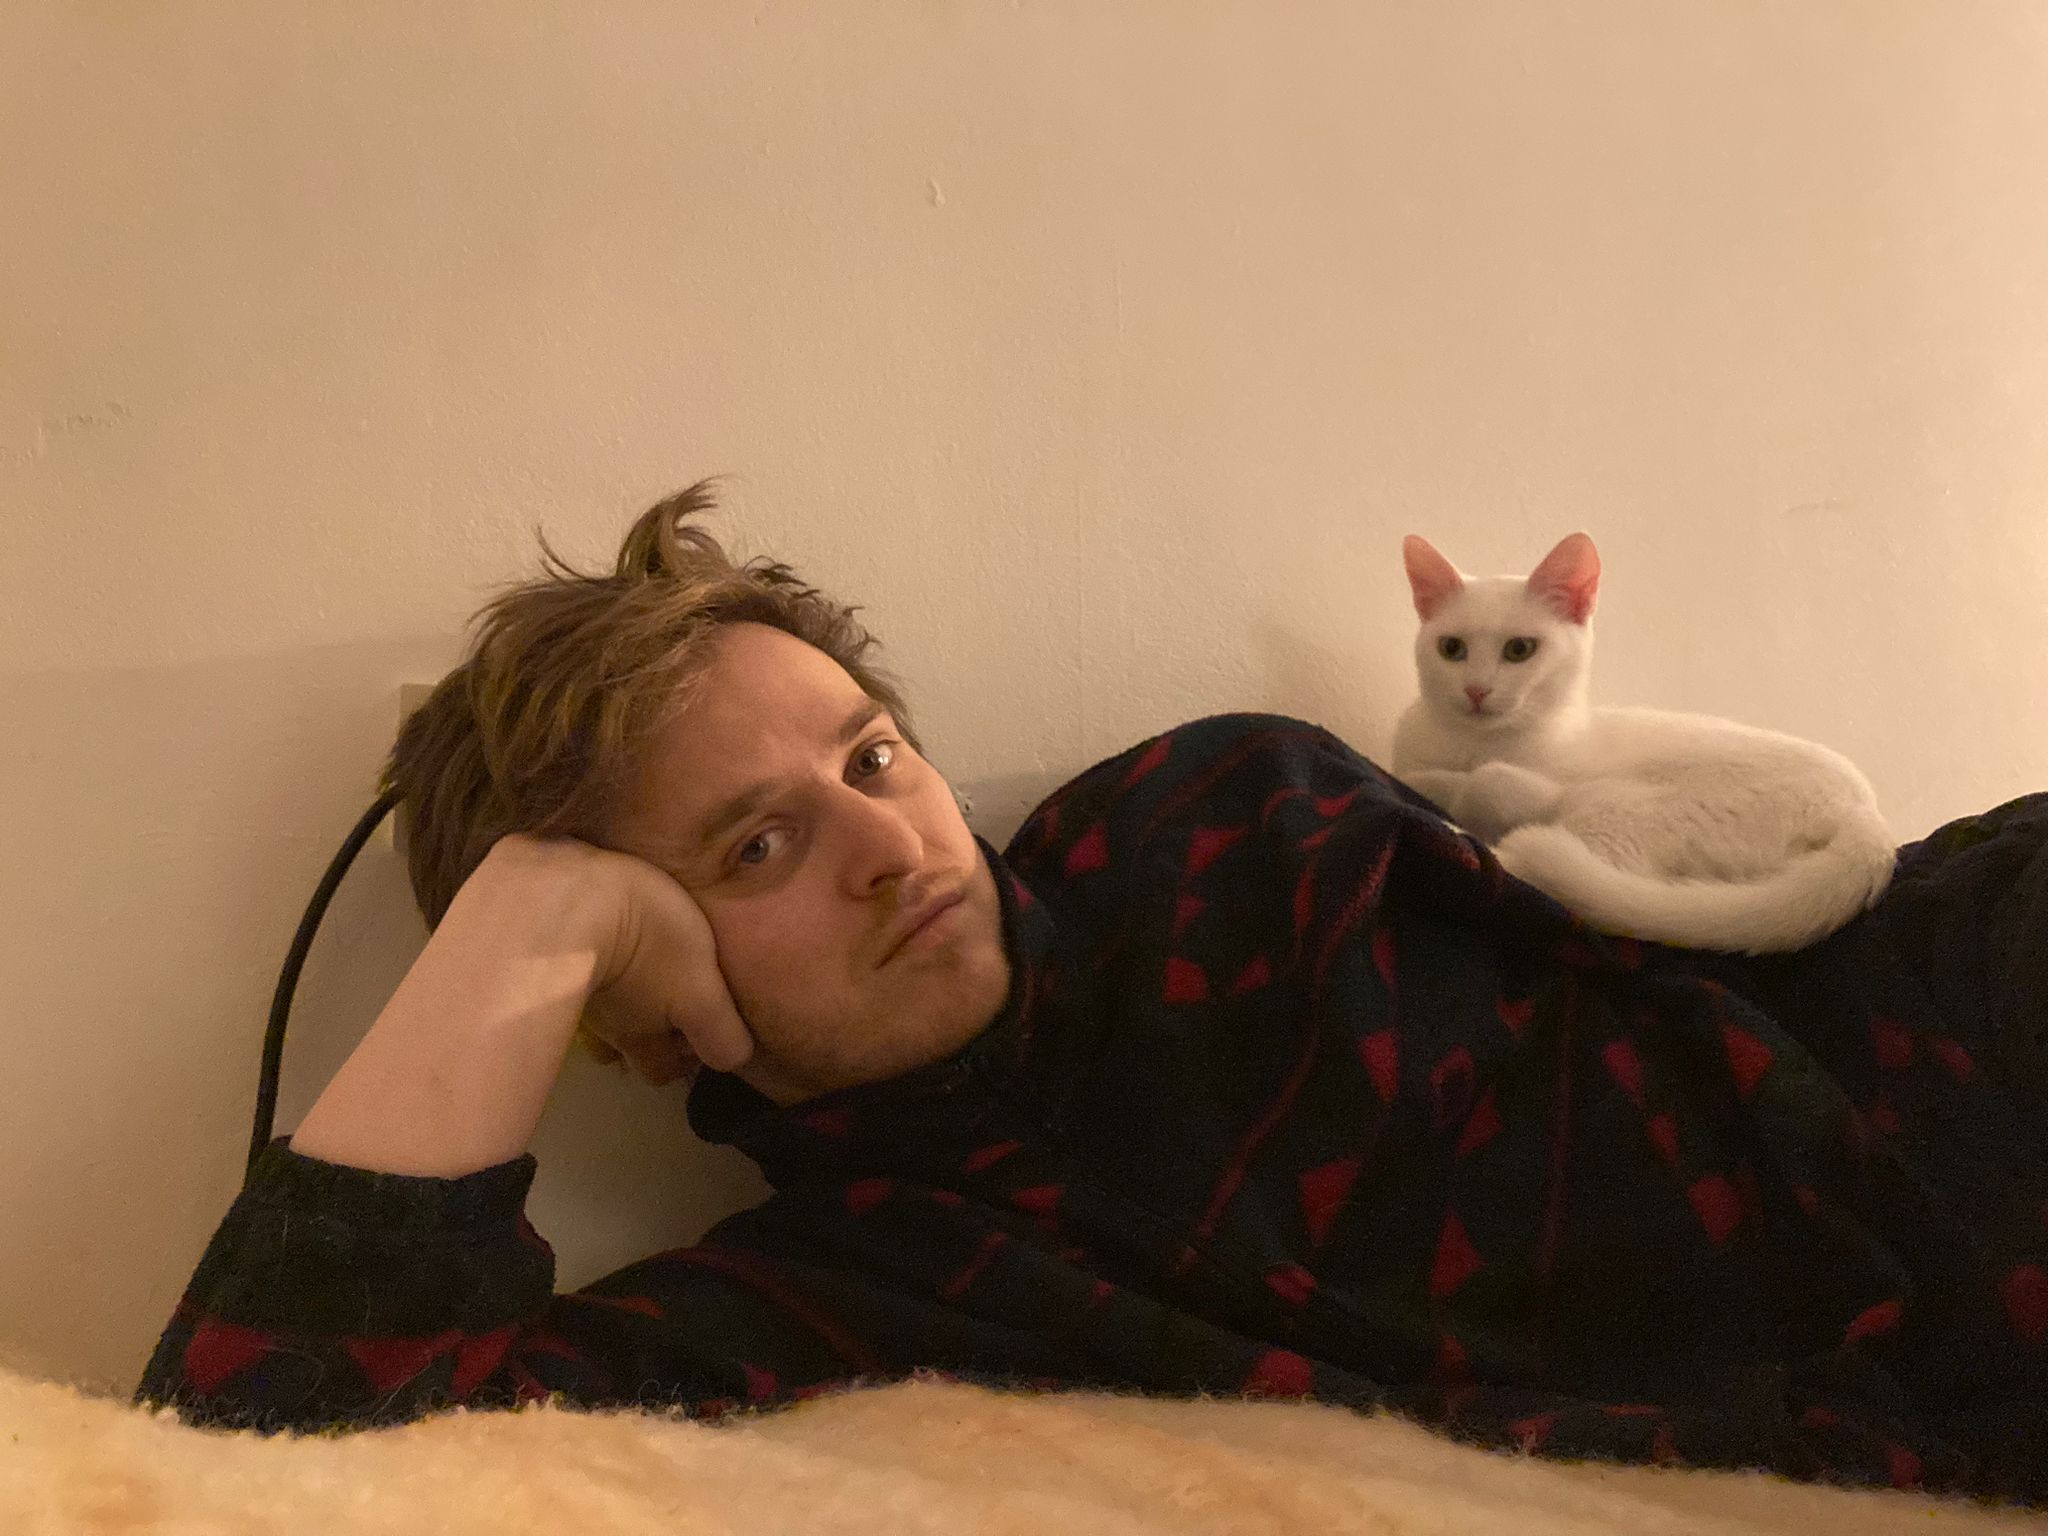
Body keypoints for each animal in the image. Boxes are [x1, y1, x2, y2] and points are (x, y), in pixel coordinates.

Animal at [1389, 531, 1896, 954]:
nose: (1476, 690)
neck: (1473, 742)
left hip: (1619, 807)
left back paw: (1459, 835)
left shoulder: (1542, 784)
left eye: (1520, 650)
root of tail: (1868, 821)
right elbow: (1420, 770)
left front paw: (1448, 791)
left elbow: (1486, 782)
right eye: (1451, 649)